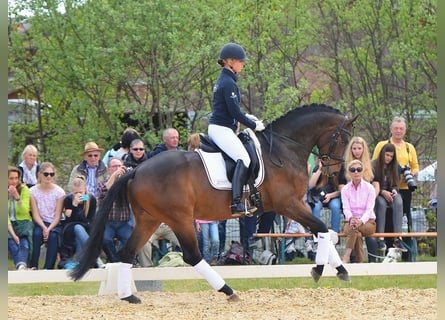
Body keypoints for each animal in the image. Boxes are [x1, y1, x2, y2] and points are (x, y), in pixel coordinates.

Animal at [70, 102, 354, 302]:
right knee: (193, 255)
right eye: (342, 138)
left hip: (149, 219)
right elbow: (321, 229)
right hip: (180, 218)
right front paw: (321, 269)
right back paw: (228, 291)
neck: (283, 149)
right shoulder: (288, 204)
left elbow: (324, 232)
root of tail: (136, 170)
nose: (334, 173)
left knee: (128, 252)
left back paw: (129, 296)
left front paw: (337, 269)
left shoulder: (294, 205)